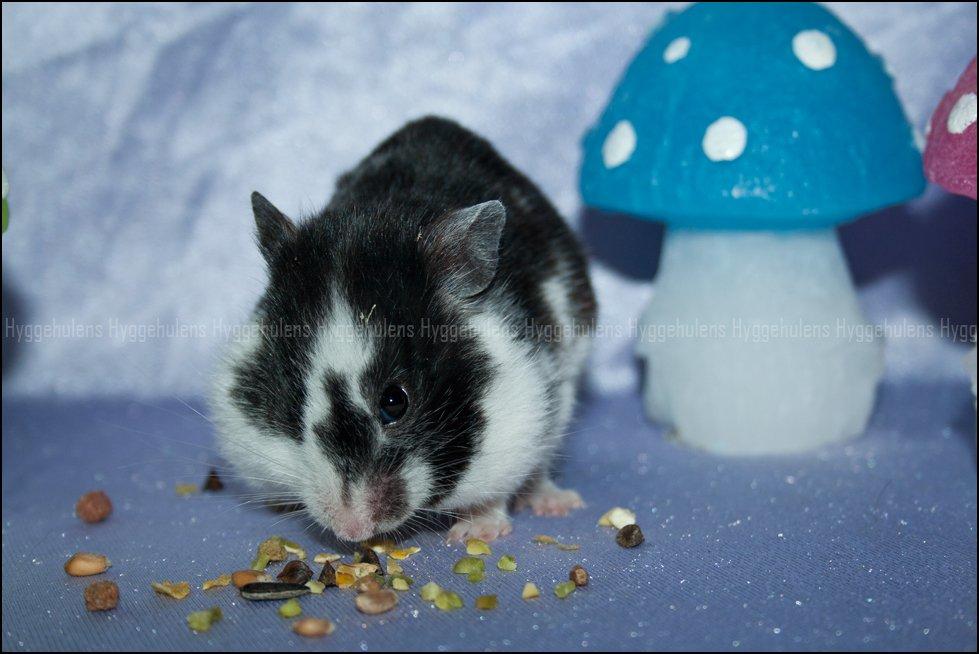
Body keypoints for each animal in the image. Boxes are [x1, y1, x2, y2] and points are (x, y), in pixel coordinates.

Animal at [211, 116, 596, 543]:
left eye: (395, 402)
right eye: (292, 402)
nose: (351, 530)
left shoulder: (521, 418)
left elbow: (495, 492)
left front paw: (475, 533)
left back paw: (557, 504)